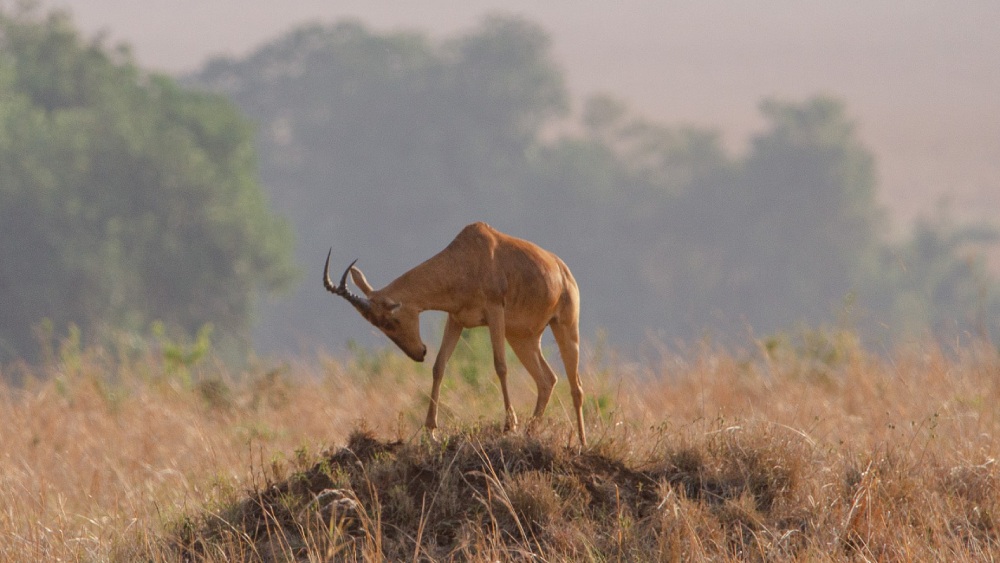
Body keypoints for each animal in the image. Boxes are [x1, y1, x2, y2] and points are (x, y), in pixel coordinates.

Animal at [320, 223, 584, 448]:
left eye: (390, 321)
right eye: (378, 326)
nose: (419, 353)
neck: (468, 256)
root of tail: (563, 270)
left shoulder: (494, 311)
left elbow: (500, 365)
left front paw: (509, 426)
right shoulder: (455, 320)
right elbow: (439, 366)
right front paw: (430, 430)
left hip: (565, 326)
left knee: (576, 386)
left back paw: (581, 442)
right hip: (522, 338)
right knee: (547, 380)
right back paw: (531, 433)